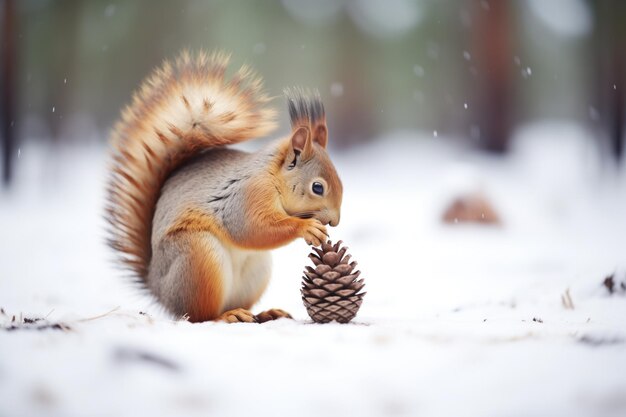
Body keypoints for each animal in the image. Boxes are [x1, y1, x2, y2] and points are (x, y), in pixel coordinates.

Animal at [106, 51, 342, 322]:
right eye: (318, 188)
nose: (335, 221)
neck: (272, 176)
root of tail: (158, 289)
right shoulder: (248, 193)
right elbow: (253, 227)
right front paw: (306, 228)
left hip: (256, 271)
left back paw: (264, 313)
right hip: (198, 258)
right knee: (198, 315)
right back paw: (225, 317)